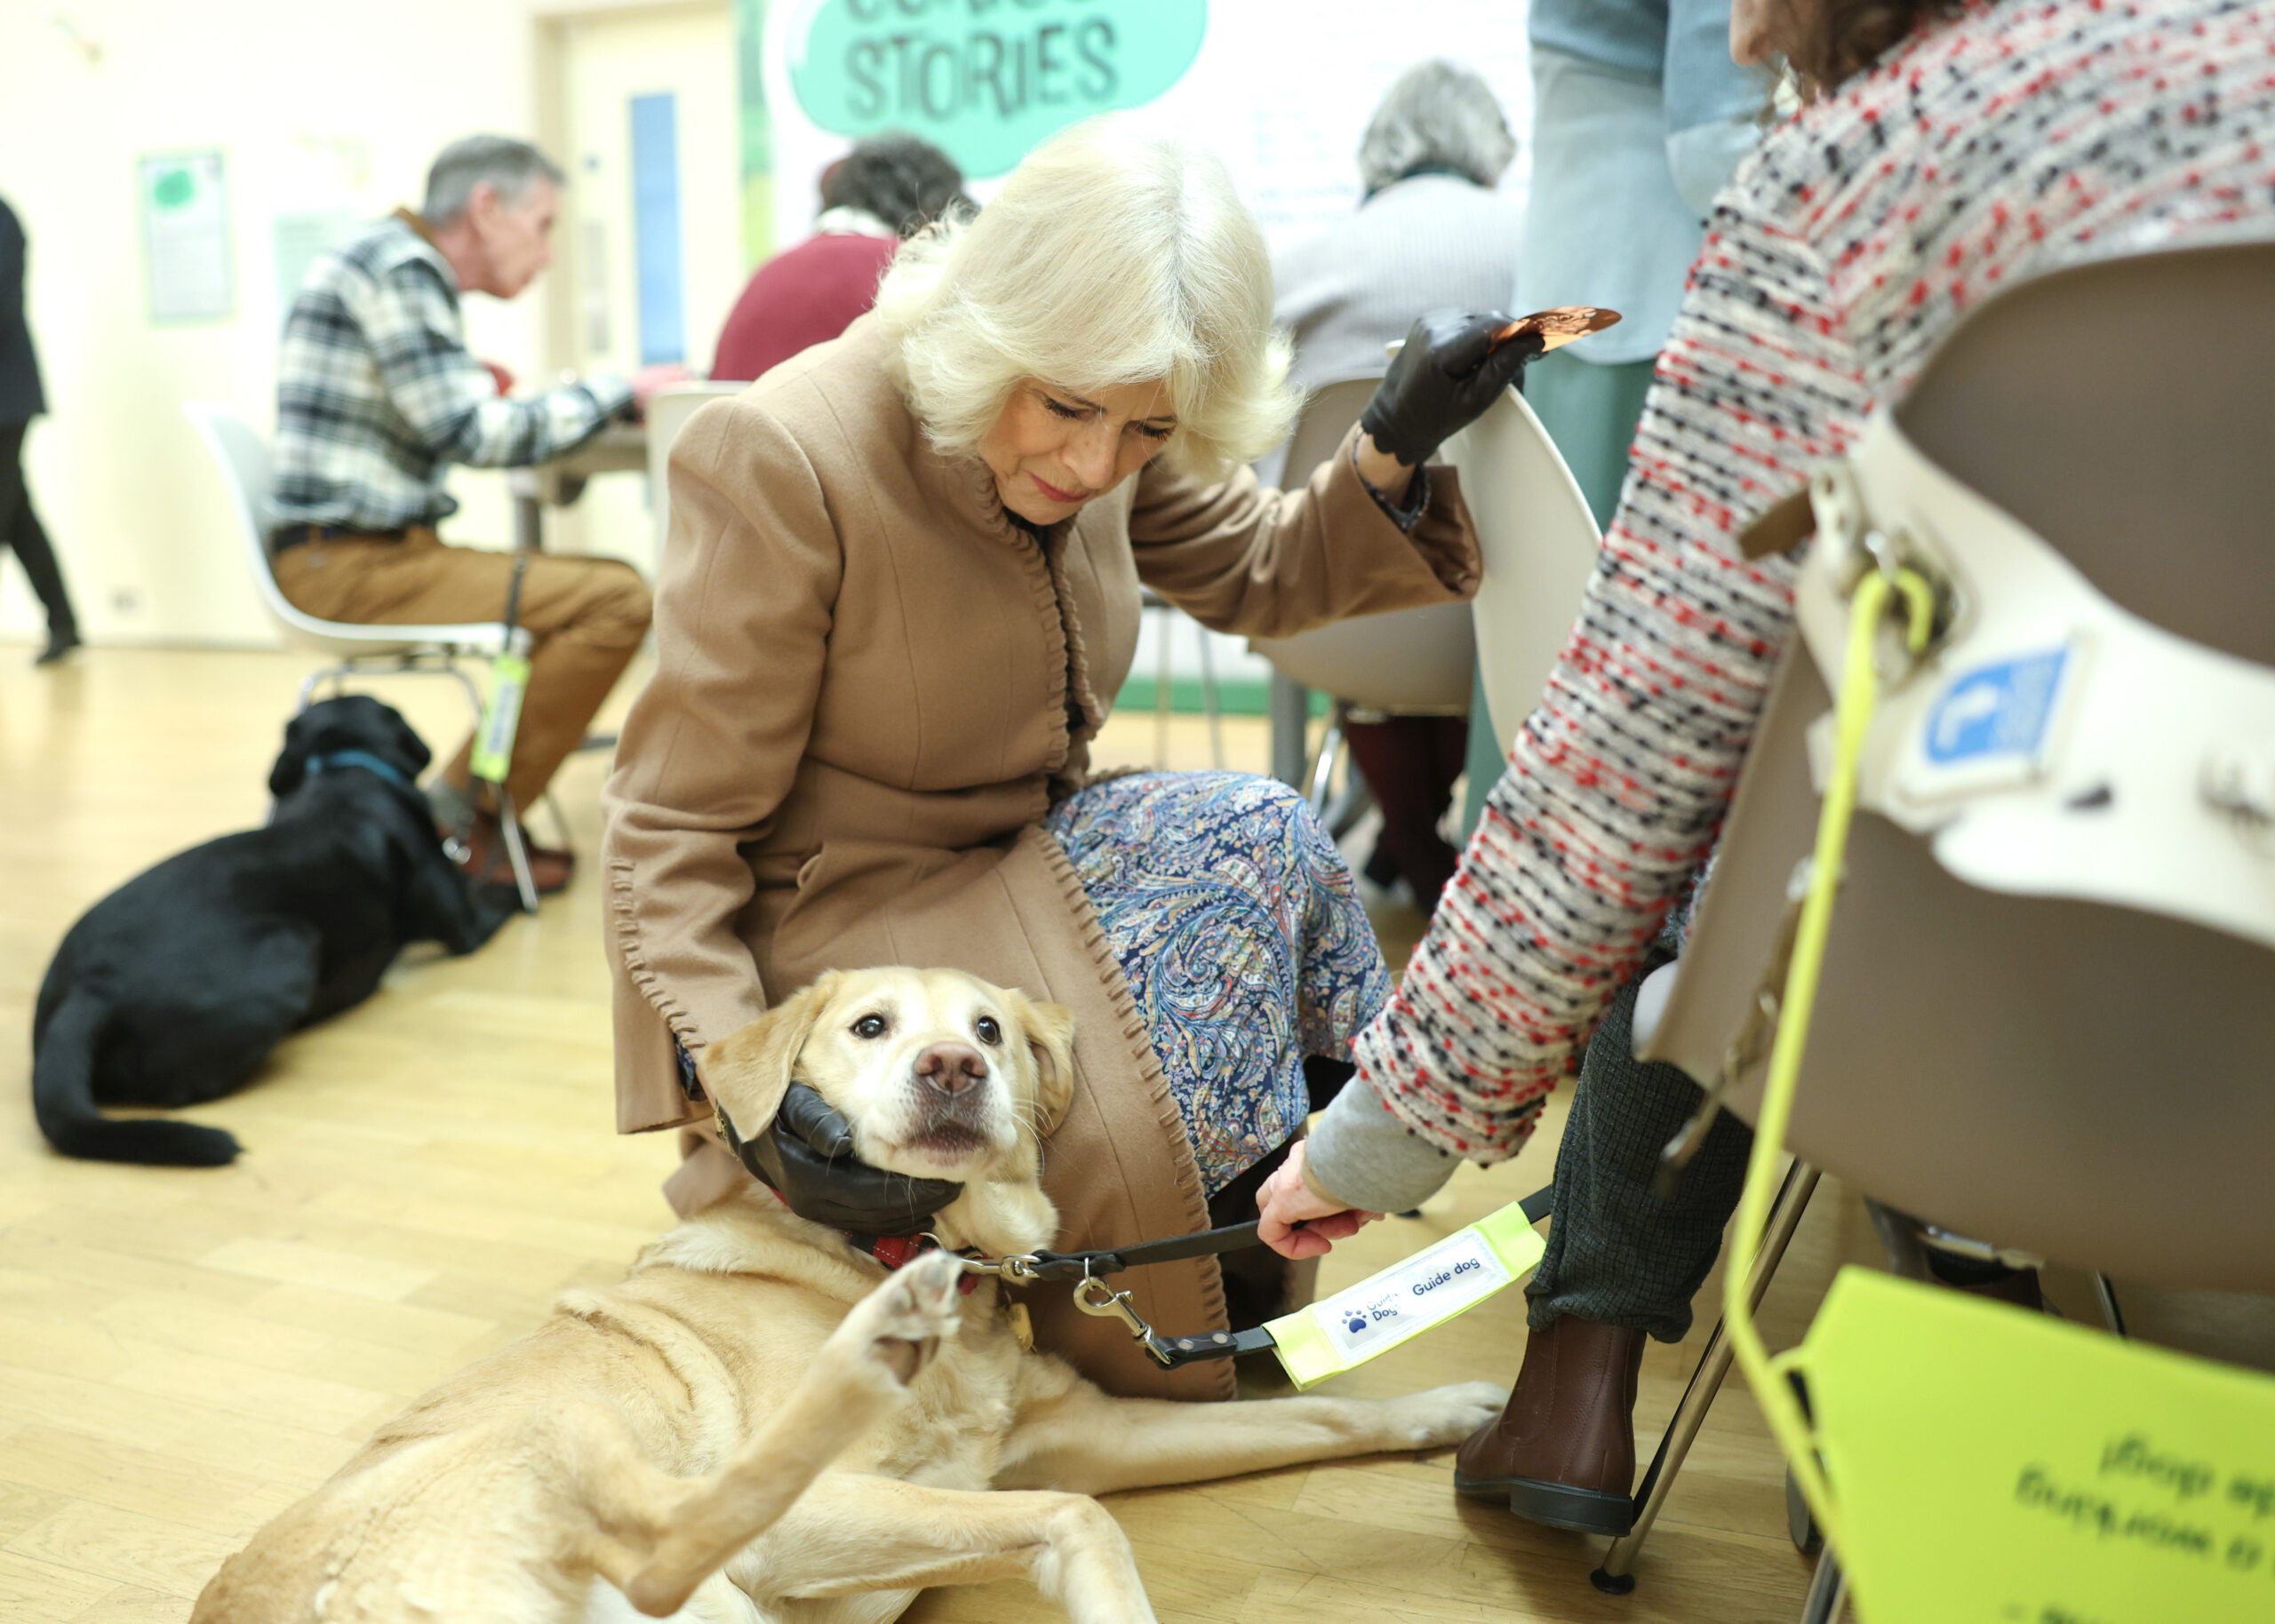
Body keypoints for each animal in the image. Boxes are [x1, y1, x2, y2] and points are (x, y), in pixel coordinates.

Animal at [34, 696, 516, 1164]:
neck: (344, 770)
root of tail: (93, 987)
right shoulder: (465, 926)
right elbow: (493, 898)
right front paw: (519, 888)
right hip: (292, 951)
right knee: (179, 1090)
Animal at [200, 968, 1510, 1610]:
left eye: (991, 1027)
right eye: (871, 1026)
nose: (954, 1065)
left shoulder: (1073, 1438)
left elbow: (1320, 1414)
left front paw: (1448, 1414)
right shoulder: (826, 1514)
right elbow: (1079, 1520)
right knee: (673, 1542)